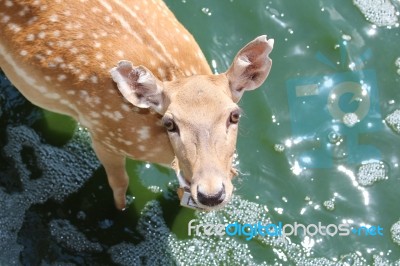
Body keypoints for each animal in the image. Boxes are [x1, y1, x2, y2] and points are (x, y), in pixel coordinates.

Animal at [0, 0, 274, 212]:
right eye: (170, 123)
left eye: (234, 115)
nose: (211, 194)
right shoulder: (103, 135)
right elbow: (119, 184)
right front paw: (120, 213)